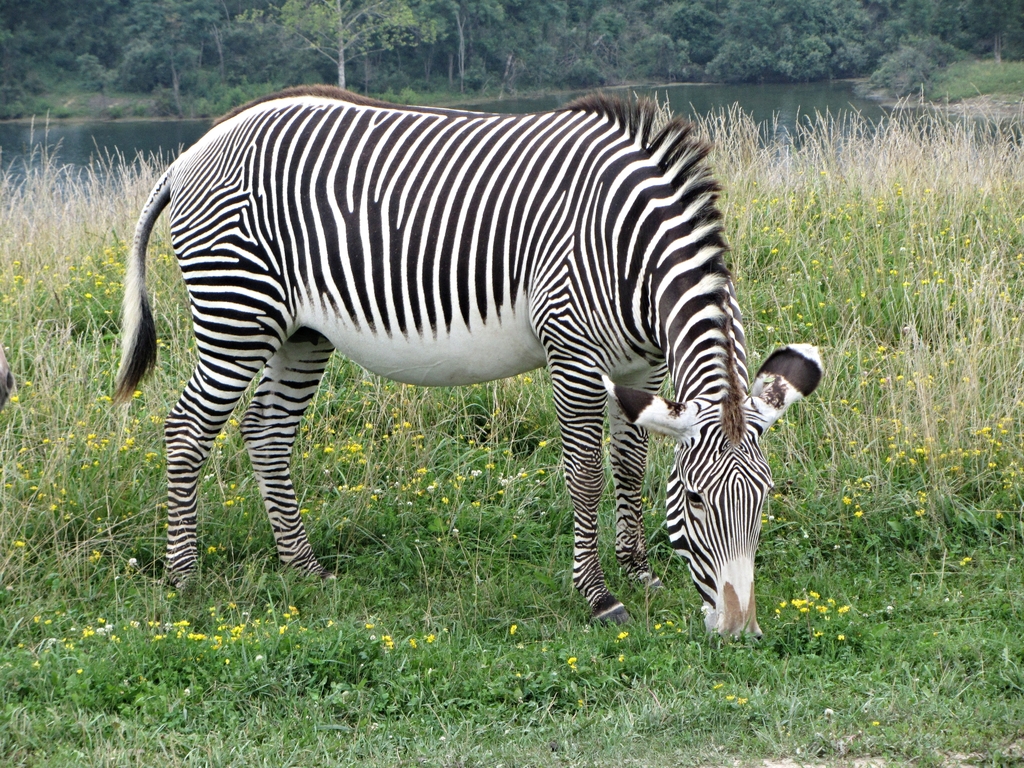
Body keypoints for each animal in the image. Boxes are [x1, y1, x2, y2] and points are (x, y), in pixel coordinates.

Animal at [114, 85, 822, 635]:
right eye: (697, 502)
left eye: (764, 499)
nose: (739, 629)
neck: (633, 250)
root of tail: (191, 152)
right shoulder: (571, 348)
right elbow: (585, 475)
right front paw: (598, 596)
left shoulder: (639, 367)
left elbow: (629, 465)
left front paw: (639, 571)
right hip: (237, 310)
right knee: (187, 430)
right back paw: (185, 577)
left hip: (301, 332)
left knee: (267, 432)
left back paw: (304, 568)